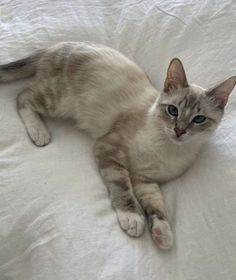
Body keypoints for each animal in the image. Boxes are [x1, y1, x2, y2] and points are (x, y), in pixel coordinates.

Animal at [0, 41, 235, 249]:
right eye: (173, 111)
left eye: (199, 119)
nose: (179, 131)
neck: (168, 149)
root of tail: (57, 45)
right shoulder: (108, 148)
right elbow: (122, 188)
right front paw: (132, 218)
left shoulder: (145, 180)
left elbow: (157, 205)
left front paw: (162, 233)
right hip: (57, 101)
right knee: (22, 97)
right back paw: (39, 132)